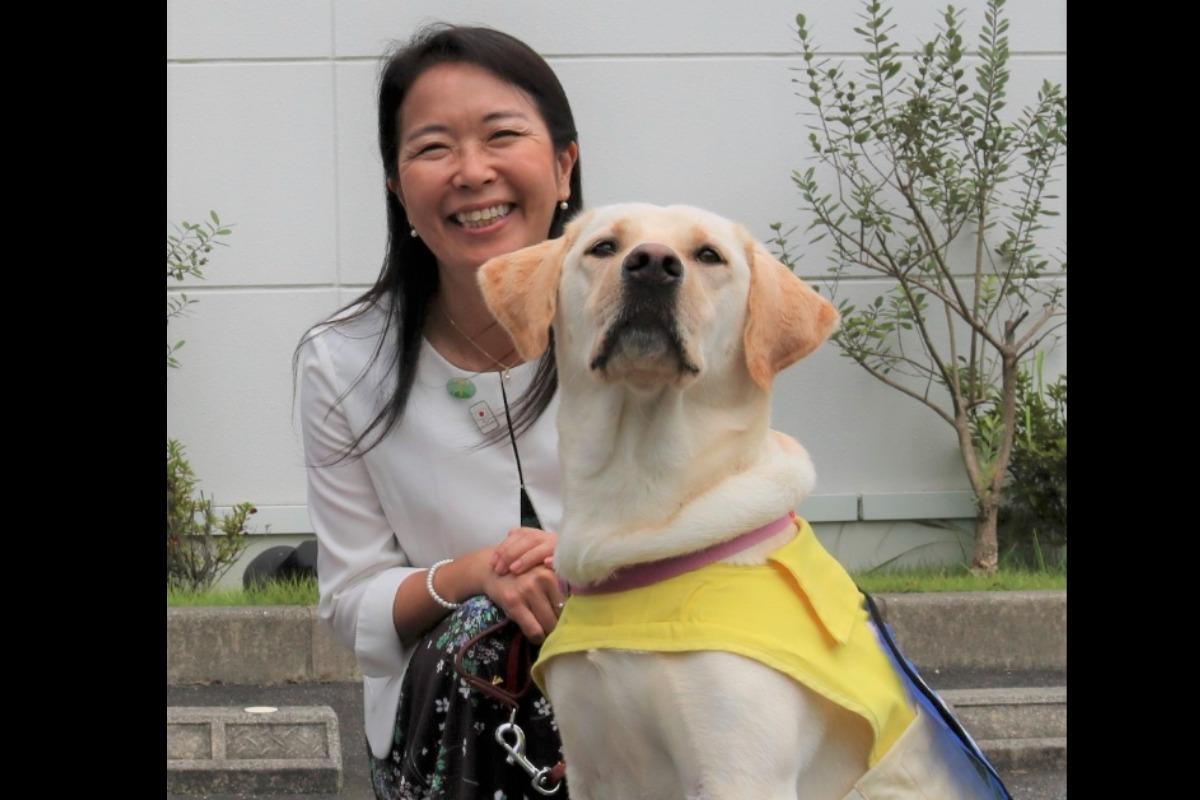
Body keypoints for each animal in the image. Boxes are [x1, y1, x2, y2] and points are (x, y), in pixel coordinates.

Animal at [477, 206, 1003, 800]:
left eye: (709, 255)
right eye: (604, 247)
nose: (652, 264)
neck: (637, 503)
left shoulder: (739, 767)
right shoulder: (592, 764)